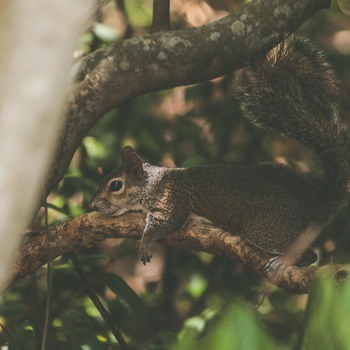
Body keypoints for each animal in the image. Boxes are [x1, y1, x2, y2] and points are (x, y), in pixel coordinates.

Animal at [89, 34, 350, 278]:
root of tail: (316, 203)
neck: (154, 184)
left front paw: (144, 243)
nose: (92, 204)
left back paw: (284, 261)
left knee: (307, 254)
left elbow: (165, 223)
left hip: (265, 225)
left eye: (115, 185)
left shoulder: (172, 201)